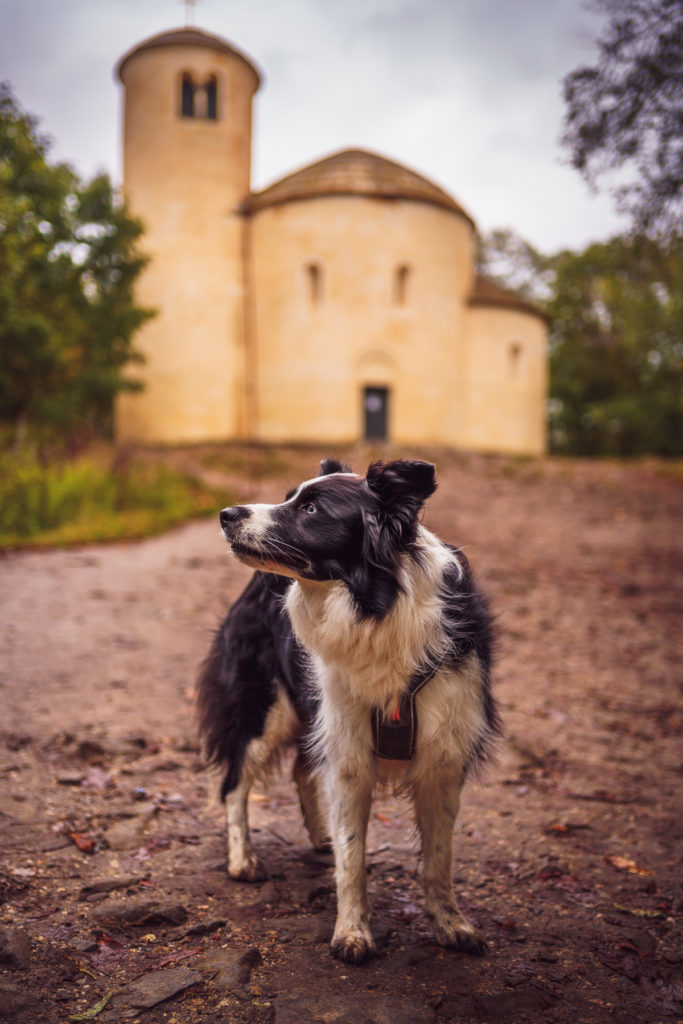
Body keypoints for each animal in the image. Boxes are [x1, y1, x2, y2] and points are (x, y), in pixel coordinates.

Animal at [197, 460, 497, 962]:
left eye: (311, 509)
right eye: (289, 497)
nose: (226, 514)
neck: (374, 607)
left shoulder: (443, 754)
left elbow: (439, 858)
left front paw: (451, 924)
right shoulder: (349, 745)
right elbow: (353, 860)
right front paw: (352, 933)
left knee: (301, 770)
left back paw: (322, 837)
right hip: (263, 706)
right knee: (234, 783)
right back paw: (243, 860)